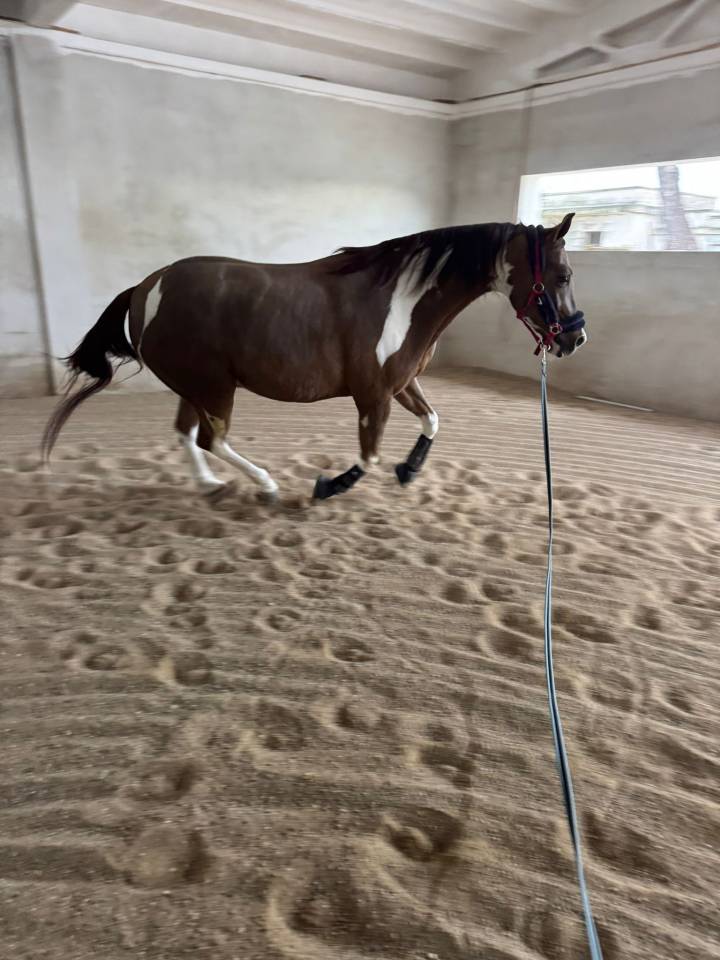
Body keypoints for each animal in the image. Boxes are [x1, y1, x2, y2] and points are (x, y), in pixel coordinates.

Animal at [41, 215, 586, 500]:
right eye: (563, 275)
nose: (574, 338)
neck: (403, 298)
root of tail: (146, 288)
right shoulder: (373, 396)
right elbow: (367, 455)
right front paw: (329, 485)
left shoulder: (401, 384)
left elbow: (433, 421)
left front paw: (409, 471)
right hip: (213, 386)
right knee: (215, 438)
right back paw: (264, 483)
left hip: (196, 387)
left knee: (188, 434)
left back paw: (211, 483)